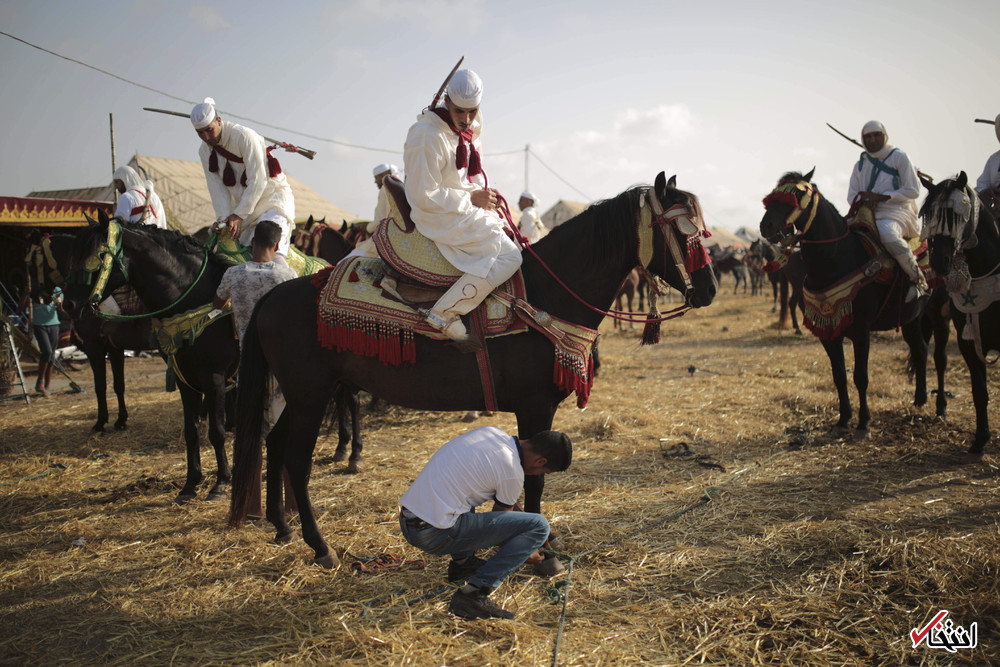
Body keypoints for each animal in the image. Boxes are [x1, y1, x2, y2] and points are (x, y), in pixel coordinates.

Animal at [64, 218, 240, 500]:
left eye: (97, 256)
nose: (68, 304)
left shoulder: (215, 378)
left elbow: (217, 432)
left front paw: (221, 482)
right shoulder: (185, 380)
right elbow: (191, 431)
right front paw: (191, 483)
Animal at [231, 174, 724, 568]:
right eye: (684, 230)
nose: (710, 289)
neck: (544, 297)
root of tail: (273, 296)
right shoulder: (535, 408)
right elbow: (535, 481)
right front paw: (543, 549)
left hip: (301, 395)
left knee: (274, 444)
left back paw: (282, 527)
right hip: (311, 394)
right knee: (295, 460)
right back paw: (320, 546)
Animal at [920, 172, 1000, 460]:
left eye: (957, 215)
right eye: (929, 216)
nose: (938, 262)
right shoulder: (967, 341)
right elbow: (979, 392)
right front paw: (980, 440)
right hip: (938, 321)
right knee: (940, 359)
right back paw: (940, 406)